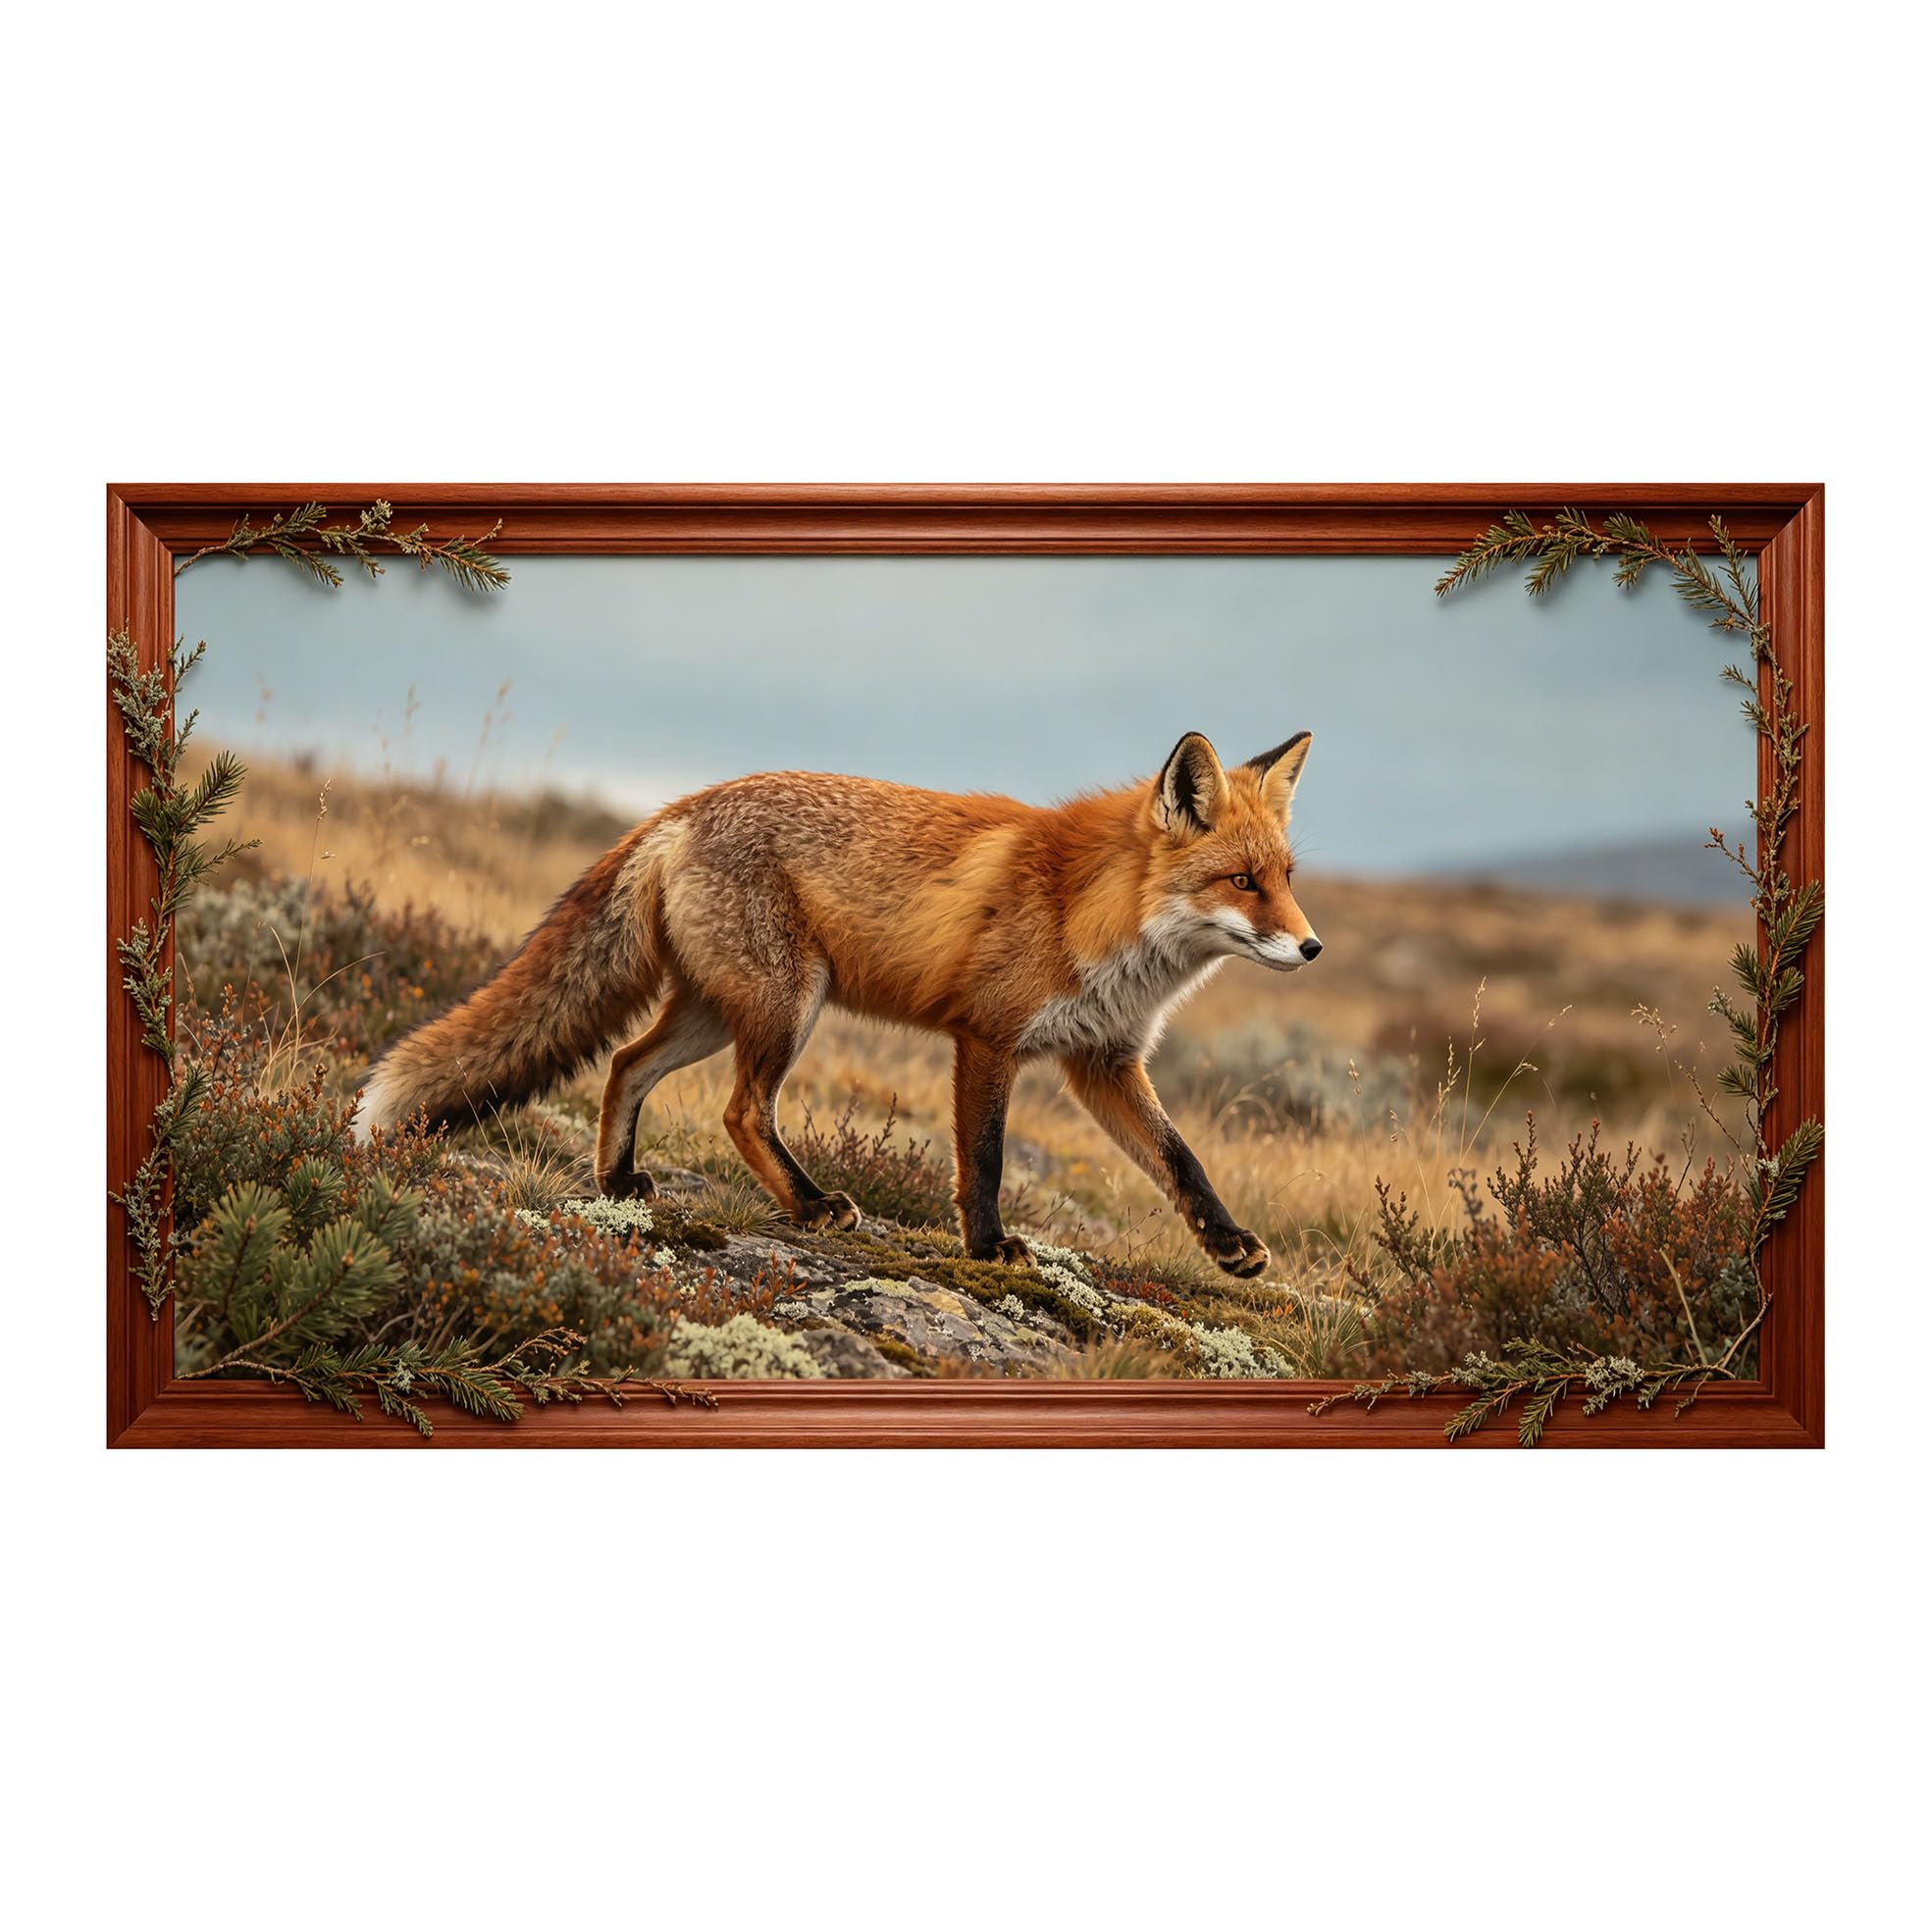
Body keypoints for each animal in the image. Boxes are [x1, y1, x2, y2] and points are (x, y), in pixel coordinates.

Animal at [354, 728, 1320, 1278]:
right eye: (1241, 881)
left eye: (1285, 877)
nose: (1312, 948)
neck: (1092, 909)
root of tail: (676, 807)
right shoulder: (988, 1037)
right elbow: (984, 1160)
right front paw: (987, 1249)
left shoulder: (1103, 1060)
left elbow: (1180, 1160)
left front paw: (1228, 1244)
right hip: (787, 1006)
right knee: (741, 1110)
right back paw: (811, 1205)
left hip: (716, 1011)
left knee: (625, 1065)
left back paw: (620, 1182)